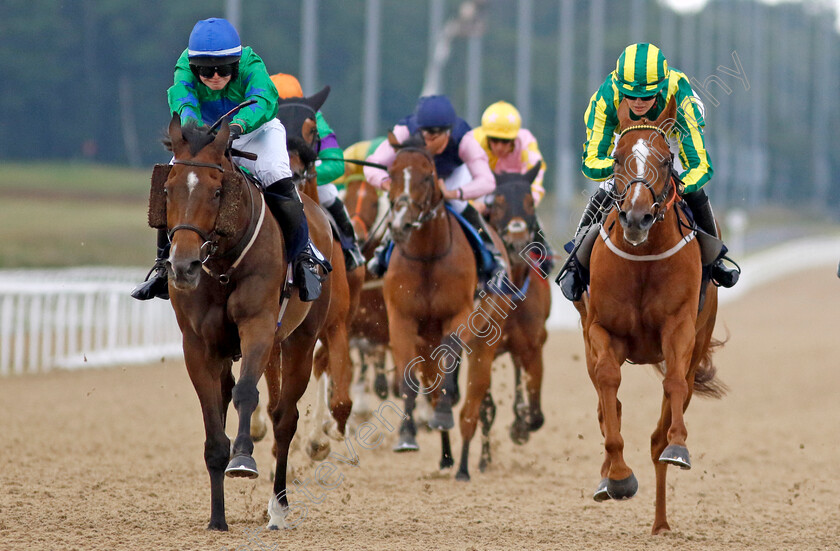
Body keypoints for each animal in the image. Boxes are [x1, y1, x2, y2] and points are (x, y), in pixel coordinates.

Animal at [153, 115, 332, 532]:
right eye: (167, 189)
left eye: (218, 192)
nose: (183, 266)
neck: (221, 266)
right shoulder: (197, 345)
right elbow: (213, 424)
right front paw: (217, 517)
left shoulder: (259, 328)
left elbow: (247, 394)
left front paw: (243, 459)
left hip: (300, 340)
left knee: (285, 419)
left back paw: (278, 509)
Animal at [382, 135, 512, 484]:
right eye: (390, 174)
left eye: (428, 176)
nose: (400, 224)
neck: (428, 256)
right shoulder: (401, 320)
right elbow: (407, 378)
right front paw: (406, 436)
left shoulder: (460, 314)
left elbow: (452, 356)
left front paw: (442, 414)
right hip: (427, 343)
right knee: (434, 386)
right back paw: (445, 457)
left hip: (485, 340)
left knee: (470, 407)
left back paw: (464, 466)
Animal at [576, 96, 724, 536]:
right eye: (617, 156)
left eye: (666, 158)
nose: (636, 217)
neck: (641, 260)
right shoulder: (600, 329)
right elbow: (609, 385)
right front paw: (618, 476)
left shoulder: (679, 329)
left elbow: (672, 385)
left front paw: (678, 446)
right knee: (605, 403)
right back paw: (609, 478)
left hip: (699, 342)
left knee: (662, 428)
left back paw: (660, 521)